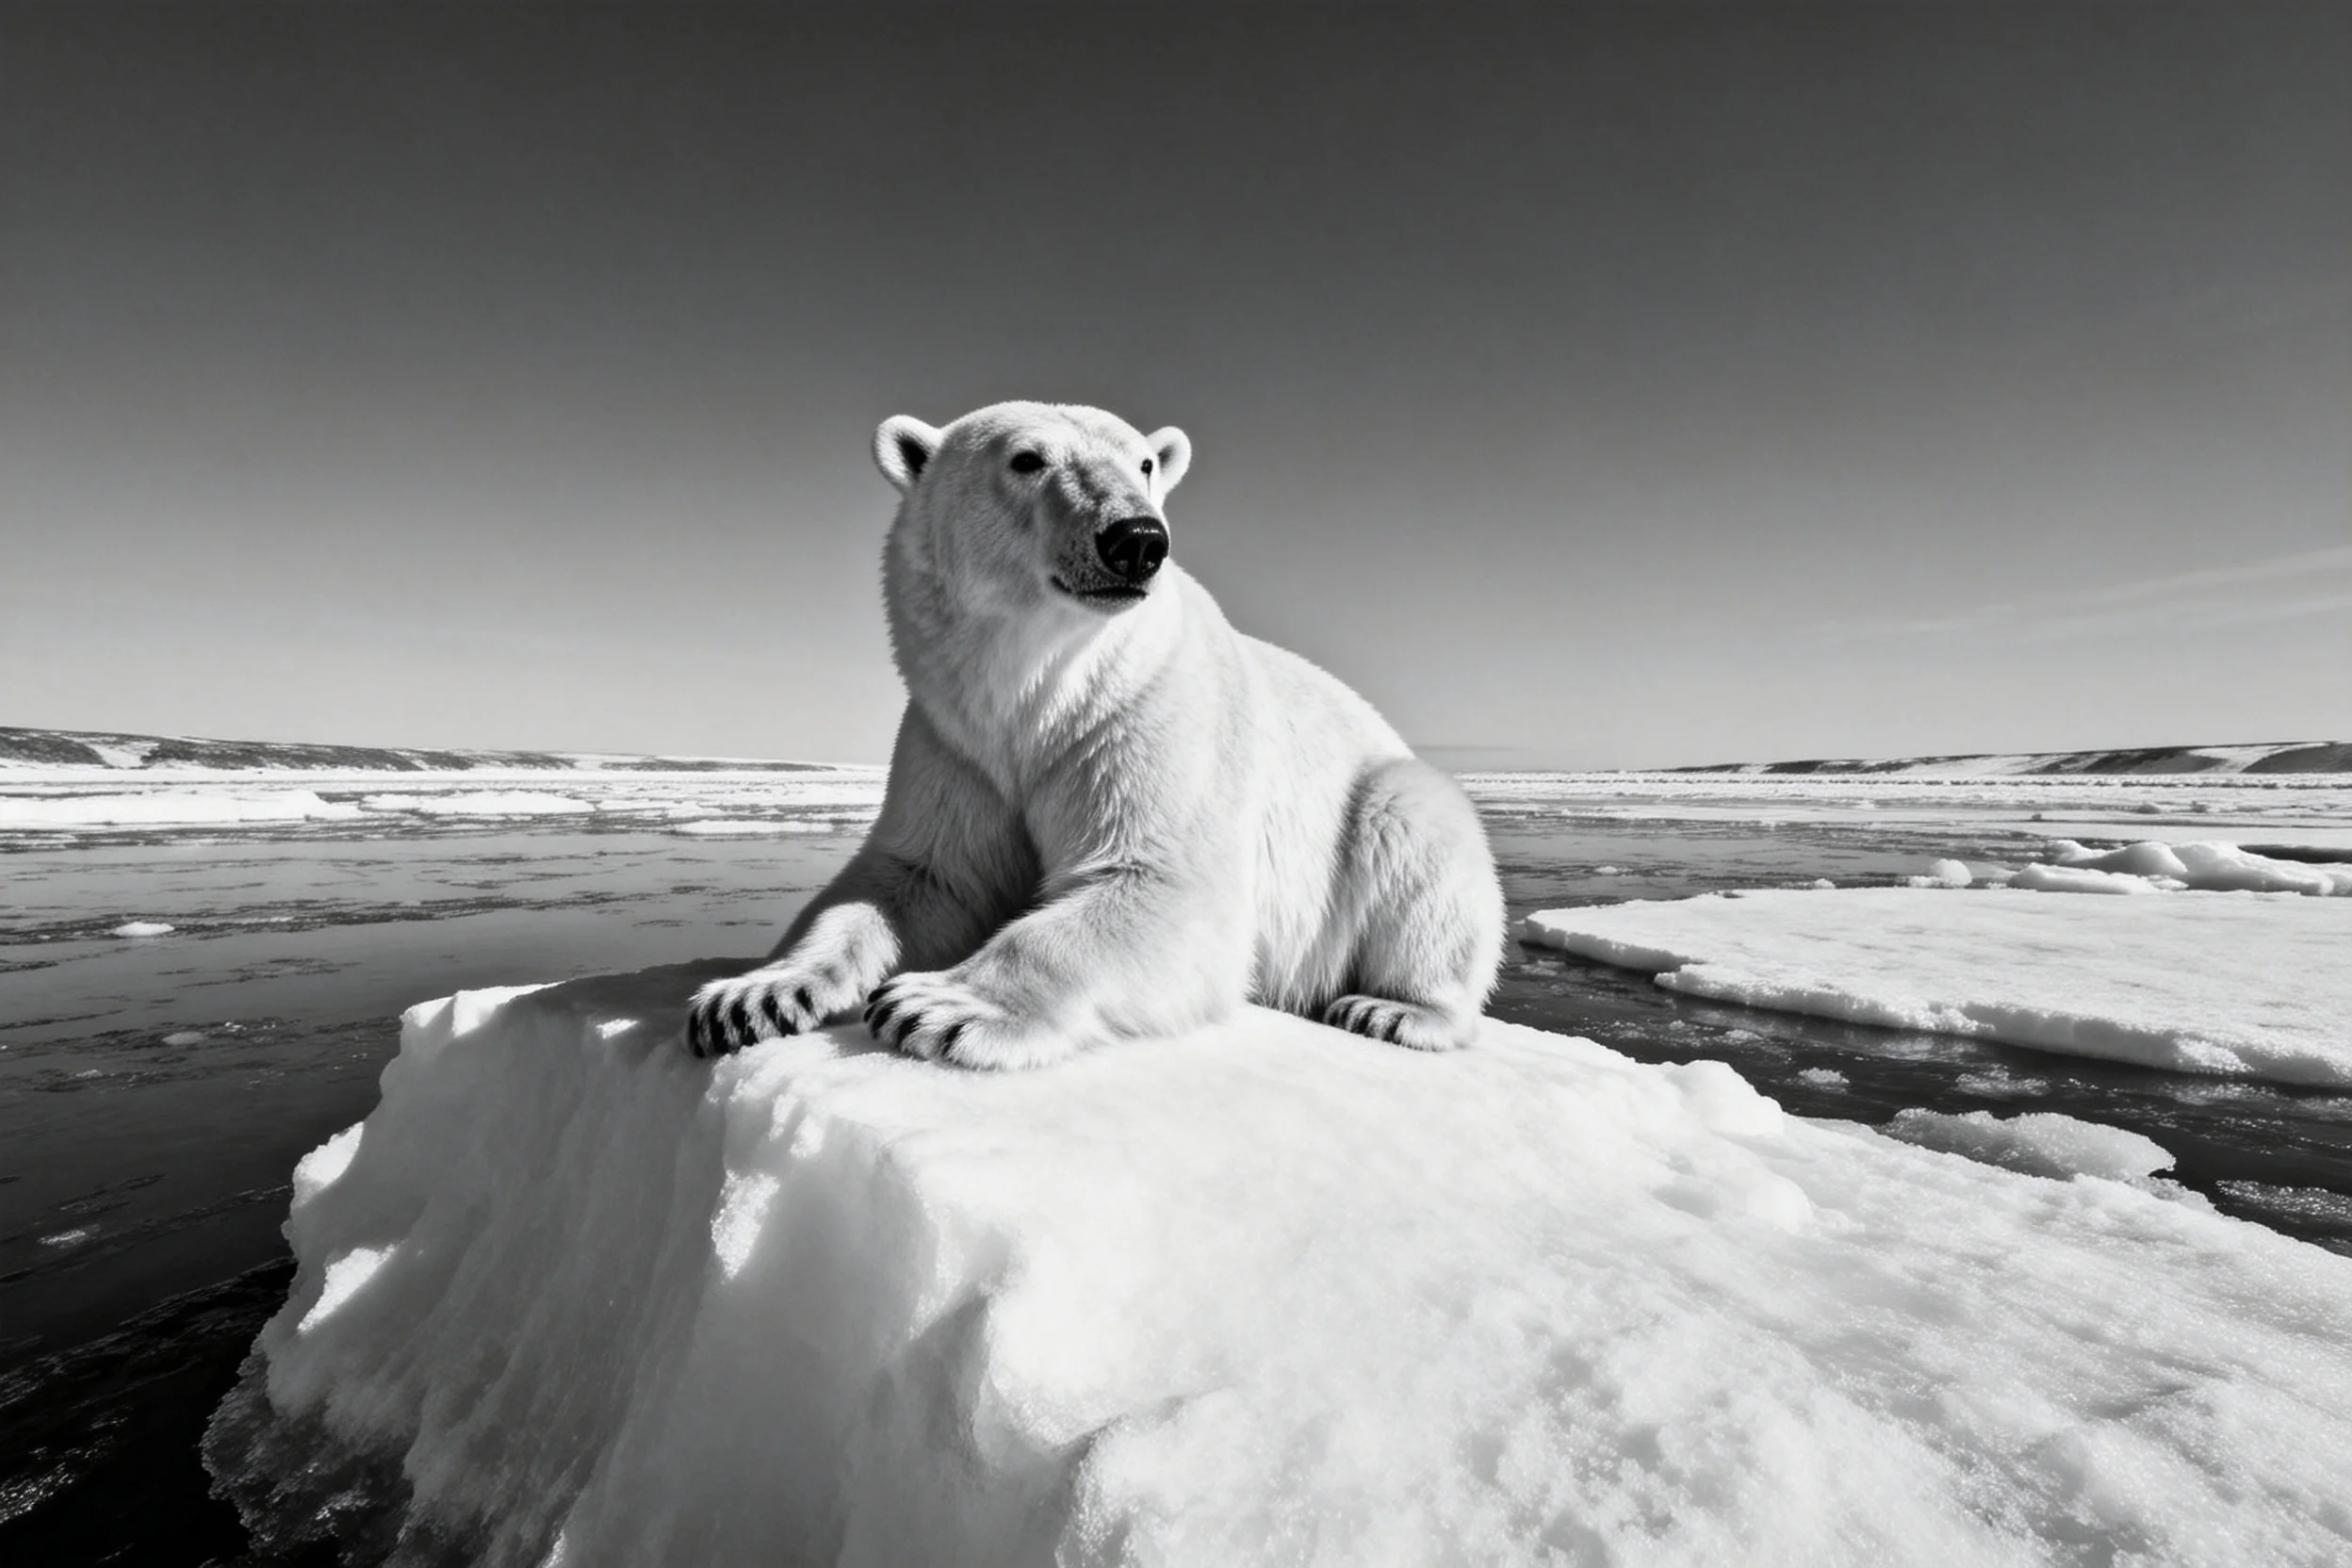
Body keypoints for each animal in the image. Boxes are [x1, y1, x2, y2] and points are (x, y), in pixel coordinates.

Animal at [684, 401, 1504, 1070]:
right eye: (1026, 459)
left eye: (1144, 462)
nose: (1136, 538)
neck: (1038, 697)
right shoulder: (957, 742)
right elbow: (913, 878)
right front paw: (751, 997)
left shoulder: (1143, 718)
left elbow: (1160, 882)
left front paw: (936, 1005)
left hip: (1378, 800)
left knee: (1417, 833)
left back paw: (1389, 1009)